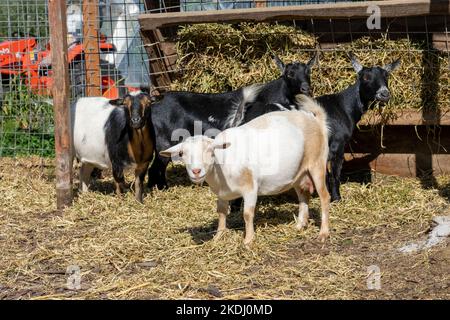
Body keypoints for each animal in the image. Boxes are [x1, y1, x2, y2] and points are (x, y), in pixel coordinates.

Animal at [162, 95, 330, 245]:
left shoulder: (250, 188)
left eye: (210, 150)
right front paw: (218, 237)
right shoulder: (221, 193)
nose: (196, 171)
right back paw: (300, 225)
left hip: (317, 163)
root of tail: (315, 120)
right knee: (303, 196)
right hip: (298, 172)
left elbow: (247, 214)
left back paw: (323, 233)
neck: (222, 164)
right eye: (182, 153)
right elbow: (221, 212)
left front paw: (248, 241)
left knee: (324, 197)